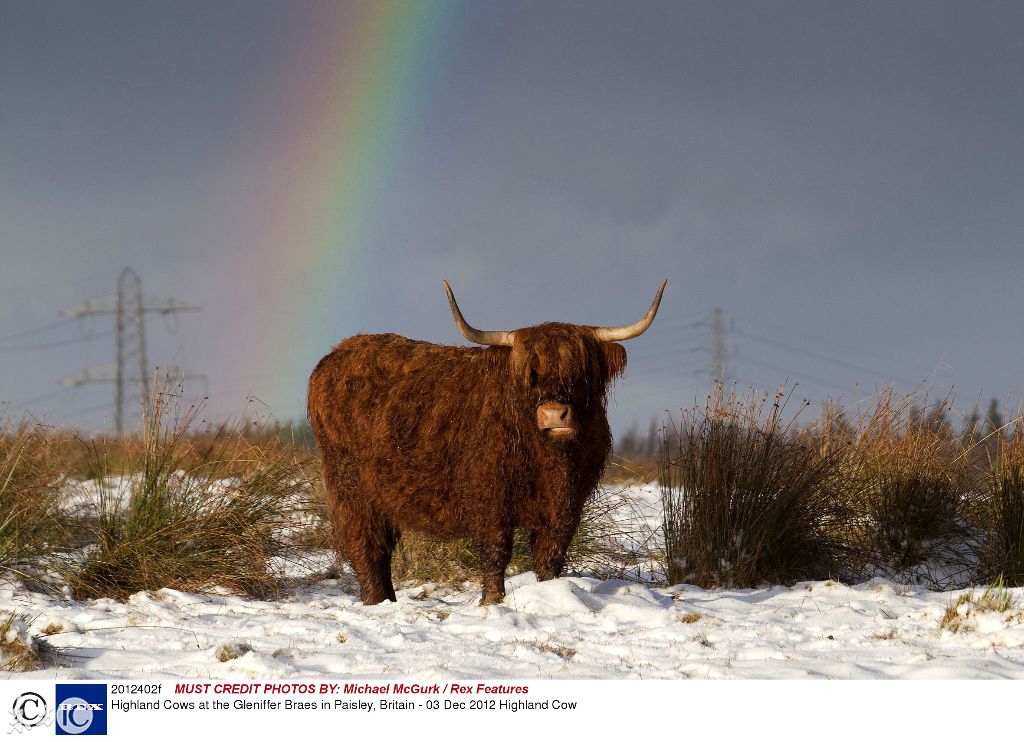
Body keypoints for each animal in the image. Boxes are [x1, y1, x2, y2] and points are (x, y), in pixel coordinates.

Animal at [307, 280, 667, 605]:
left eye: (579, 373)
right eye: (529, 375)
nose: (553, 414)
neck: (551, 459)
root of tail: (334, 356)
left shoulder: (567, 503)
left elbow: (551, 555)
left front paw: (551, 593)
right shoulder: (490, 496)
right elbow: (497, 551)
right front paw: (492, 602)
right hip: (351, 485)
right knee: (366, 543)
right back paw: (377, 602)